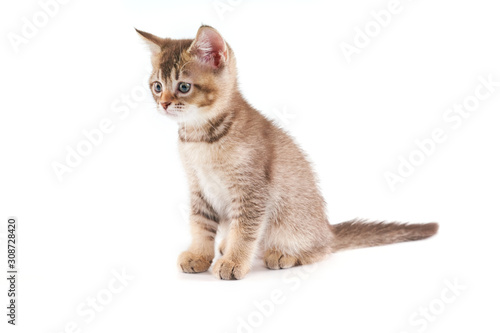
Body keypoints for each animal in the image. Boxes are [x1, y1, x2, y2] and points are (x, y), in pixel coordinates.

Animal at [136, 26, 438, 278]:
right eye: (157, 87)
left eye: (183, 86)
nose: (163, 104)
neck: (200, 139)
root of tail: (327, 229)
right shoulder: (199, 188)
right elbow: (200, 225)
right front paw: (199, 255)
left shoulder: (253, 190)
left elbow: (245, 230)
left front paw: (234, 261)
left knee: (321, 250)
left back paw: (284, 254)